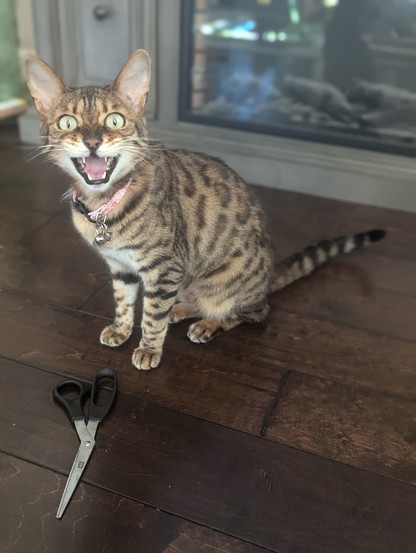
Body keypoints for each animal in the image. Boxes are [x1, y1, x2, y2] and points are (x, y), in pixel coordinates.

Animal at [24, 50, 386, 370]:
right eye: (67, 122)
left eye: (114, 119)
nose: (92, 142)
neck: (104, 206)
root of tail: (268, 280)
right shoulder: (121, 265)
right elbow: (124, 302)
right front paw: (122, 329)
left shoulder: (164, 267)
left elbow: (152, 315)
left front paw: (149, 349)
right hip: (188, 278)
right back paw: (181, 309)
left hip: (224, 283)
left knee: (248, 312)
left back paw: (208, 324)